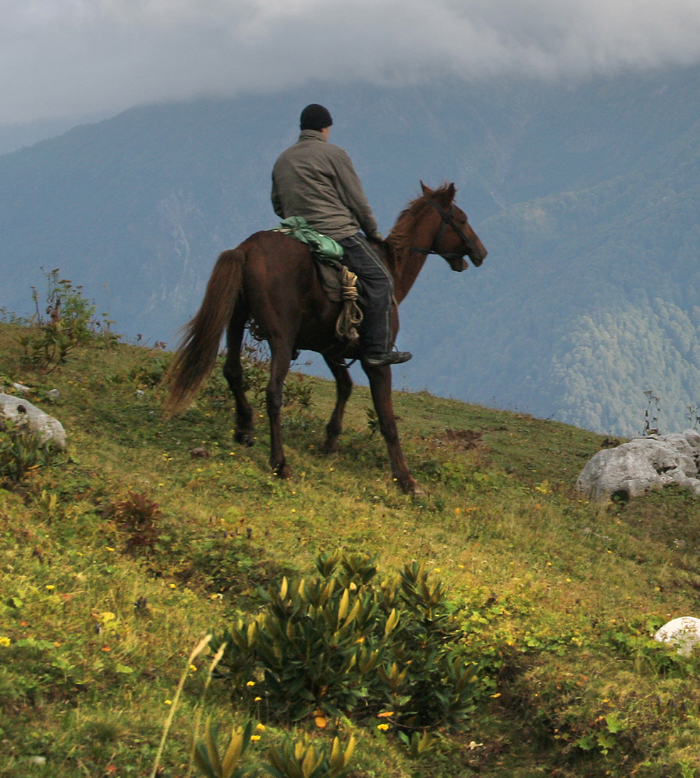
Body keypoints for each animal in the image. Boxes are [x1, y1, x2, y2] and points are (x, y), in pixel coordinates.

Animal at [167, 183, 490, 492]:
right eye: (462, 219)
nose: (481, 252)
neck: (392, 269)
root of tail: (246, 250)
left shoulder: (332, 348)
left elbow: (344, 387)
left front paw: (331, 441)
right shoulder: (376, 359)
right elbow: (387, 420)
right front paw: (406, 480)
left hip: (235, 322)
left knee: (233, 371)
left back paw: (245, 428)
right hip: (281, 338)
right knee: (273, 393)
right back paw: (280, 463)